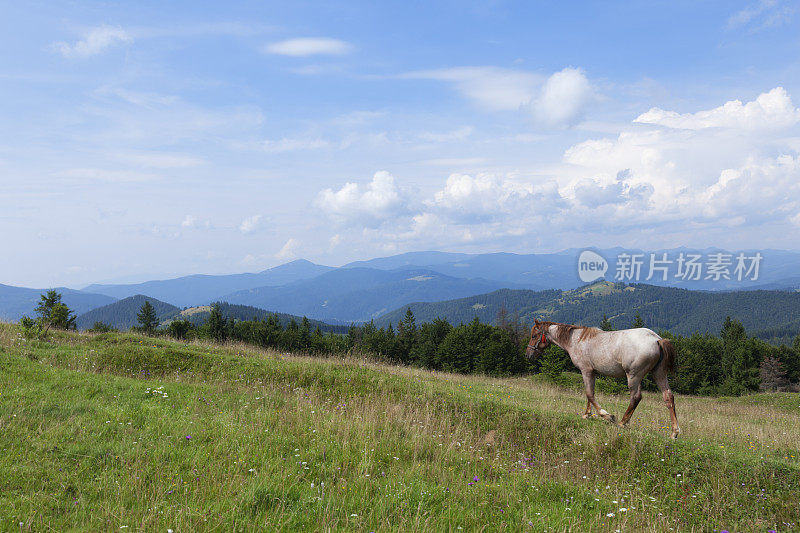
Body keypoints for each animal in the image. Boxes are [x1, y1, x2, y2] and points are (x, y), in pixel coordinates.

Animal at [524, 318, 680, 438]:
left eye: (534, 336)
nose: (528, 355)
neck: (576, 340)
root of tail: (656, 339)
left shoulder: (586, 371)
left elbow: (589, 394)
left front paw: (606, 415)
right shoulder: (592, 373)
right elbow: (590, 394)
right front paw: (587, 414)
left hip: (634, 376)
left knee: (636, 397)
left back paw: (622, 422)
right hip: (659, 374)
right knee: (668, 397)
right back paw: (674, 432)